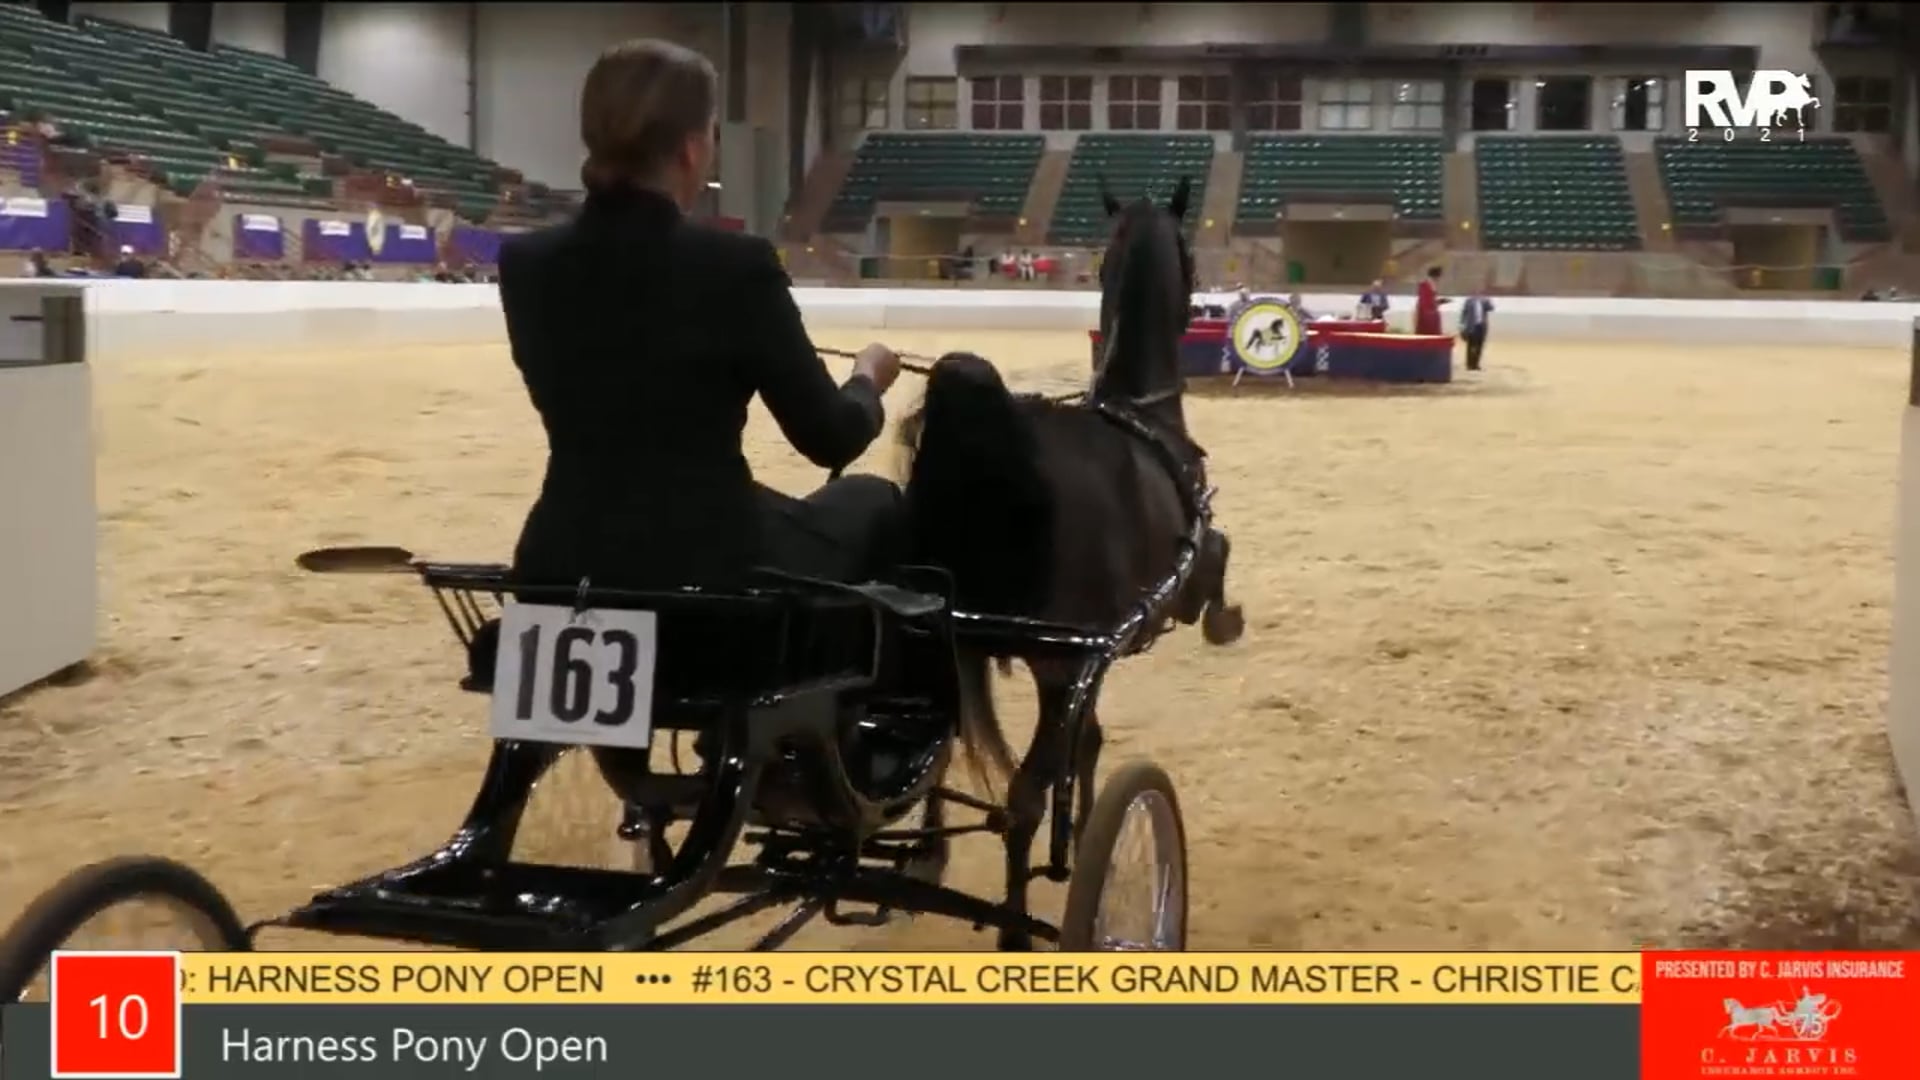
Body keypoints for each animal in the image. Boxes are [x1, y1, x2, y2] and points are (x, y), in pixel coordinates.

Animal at [898, 176, 1245, 949]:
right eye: (1190, 255)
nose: (1204, 305)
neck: (1141, 413)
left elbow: (1089, 742)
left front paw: (1083, 829)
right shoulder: (1146, 609)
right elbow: (1220, 553)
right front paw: (1227, 617)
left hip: (945, 648)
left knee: (942, 752)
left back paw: (928, 855)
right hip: (1055, 670)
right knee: (1023, 800)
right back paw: (1015, 928)